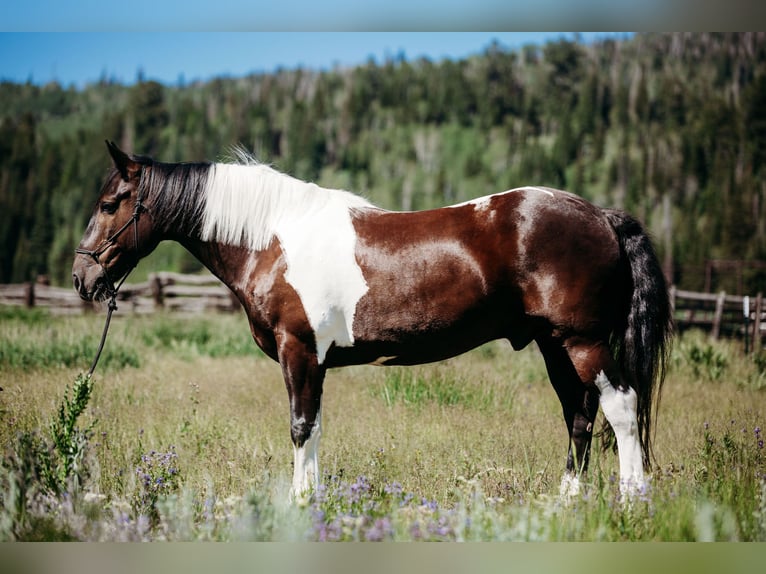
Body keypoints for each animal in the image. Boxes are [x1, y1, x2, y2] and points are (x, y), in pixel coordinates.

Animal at [72, 142, 672, 502]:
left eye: (109, 203)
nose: (82, 277)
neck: (274, 238)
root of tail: (602, 217)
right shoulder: (313, 360)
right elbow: (313, 427)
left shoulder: (300, 351)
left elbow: (300, 427)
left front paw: (300, 502)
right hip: (555, 345)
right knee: (579, 414)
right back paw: (566, 502)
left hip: (582, 342)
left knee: (620, 407)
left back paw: (632, 501)